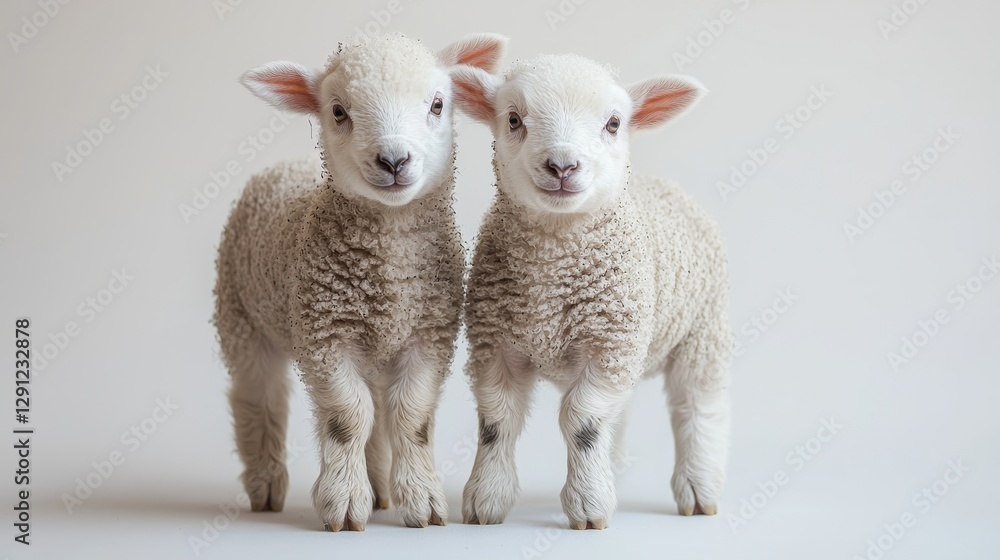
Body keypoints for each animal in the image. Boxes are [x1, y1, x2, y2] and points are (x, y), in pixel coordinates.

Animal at [213, 32, 508, 531]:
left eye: (437, 104)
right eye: (338, 111)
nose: (393, 160)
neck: (390, 270)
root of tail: (282, 167)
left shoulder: (428, 335)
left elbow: (409, 416)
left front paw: (420, 500)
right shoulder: (324, 334)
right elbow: (347, 417)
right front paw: (345, 503)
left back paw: (380, 489)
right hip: (240, 317)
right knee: (258, 396)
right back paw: (265, 486)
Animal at [450, 54, 732, 529]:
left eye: (614, 124)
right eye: (514, 119)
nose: (562, 166)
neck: (554, 257)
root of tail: (665, 185)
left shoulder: (606, 342)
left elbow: (582, 422)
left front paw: (587, 504)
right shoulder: (495, 341)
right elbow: (496, 420)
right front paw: (487, 498)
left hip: (701, 331)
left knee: (695, 408)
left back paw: (699, 487)